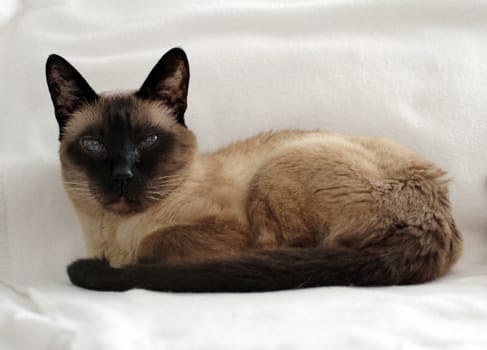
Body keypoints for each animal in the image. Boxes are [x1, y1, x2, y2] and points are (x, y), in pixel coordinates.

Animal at [46, 47, 466, 292]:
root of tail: (435, 222)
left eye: (148, 141)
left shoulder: (230, 232)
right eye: (94, 145)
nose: (123, 176)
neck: (114, 234)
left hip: (276, 174)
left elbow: (152, 245)